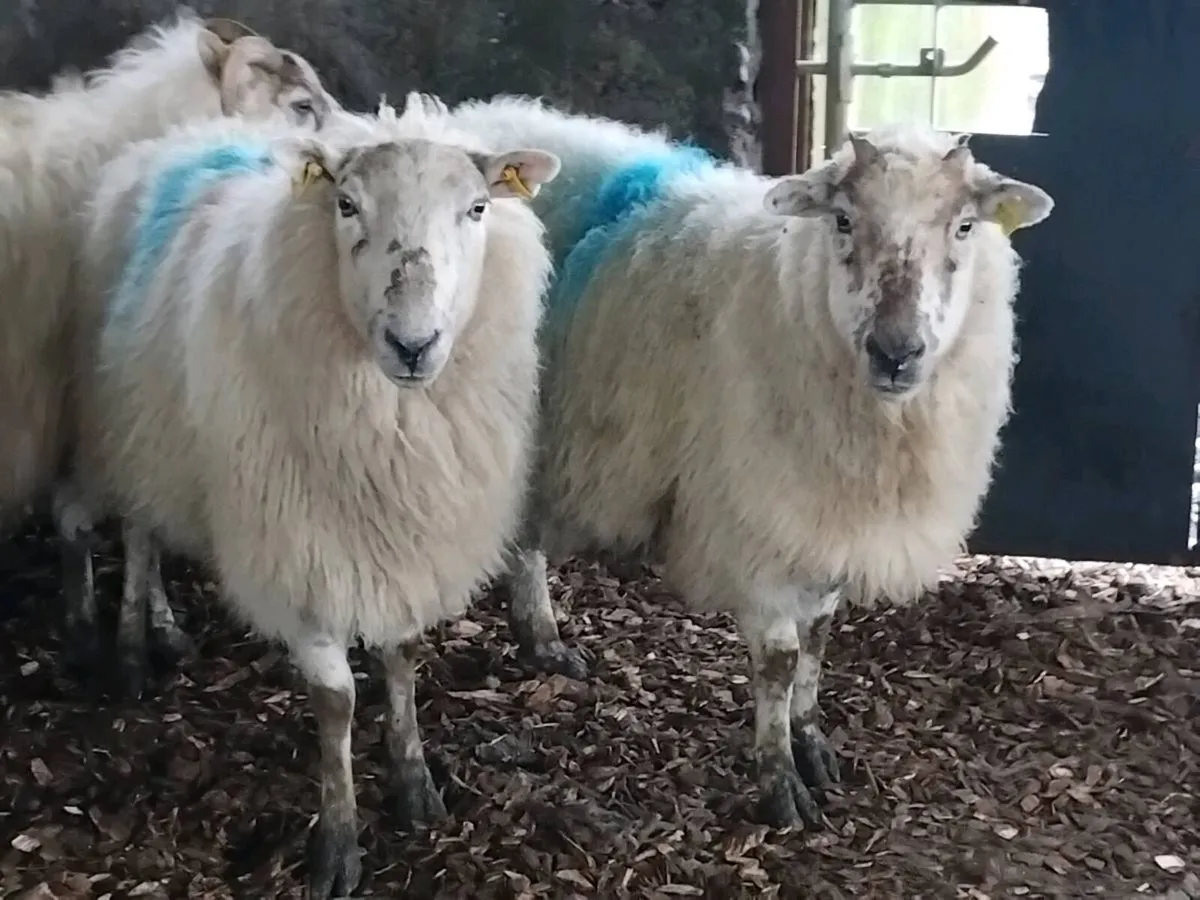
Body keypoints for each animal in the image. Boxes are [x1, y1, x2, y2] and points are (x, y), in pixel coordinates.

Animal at [60, 96, 560, 897]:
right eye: (347, 204)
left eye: (478, 208)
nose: (413, 344)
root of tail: (193, 131)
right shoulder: (298, 541)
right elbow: (336, 700)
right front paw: (339, 842)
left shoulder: (405, 535)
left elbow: (402, 656)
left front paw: (414, 783)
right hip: (129, 416)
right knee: (137, 533)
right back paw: (133, 645)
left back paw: (163, 627)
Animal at [437, 94, 1055, 828]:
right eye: (843, 219)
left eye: (964, 226)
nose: (896, 353)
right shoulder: (756, 519)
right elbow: (781, 661)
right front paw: (779, 781)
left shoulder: (823, 518)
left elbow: (819, 638)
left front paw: (812, 745)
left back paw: (542, 639)